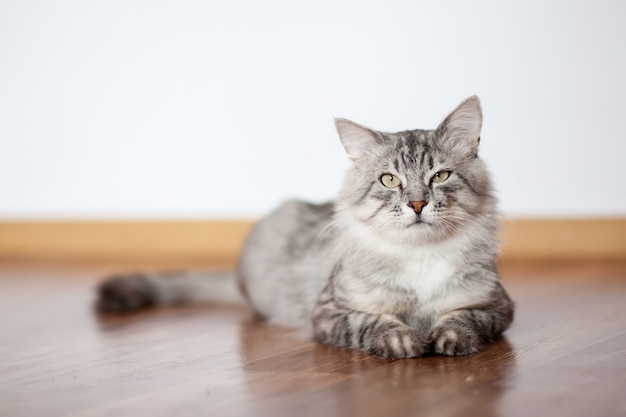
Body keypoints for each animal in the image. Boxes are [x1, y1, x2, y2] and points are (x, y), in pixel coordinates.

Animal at [97, 95, 516, 358]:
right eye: (390, 181)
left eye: (440, 176)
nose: (417, 204)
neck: (420, 257)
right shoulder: (329, 311)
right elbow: (373, 322)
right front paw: (401, 341)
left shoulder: (495, 304)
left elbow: (462, 318)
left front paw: (447, 338)